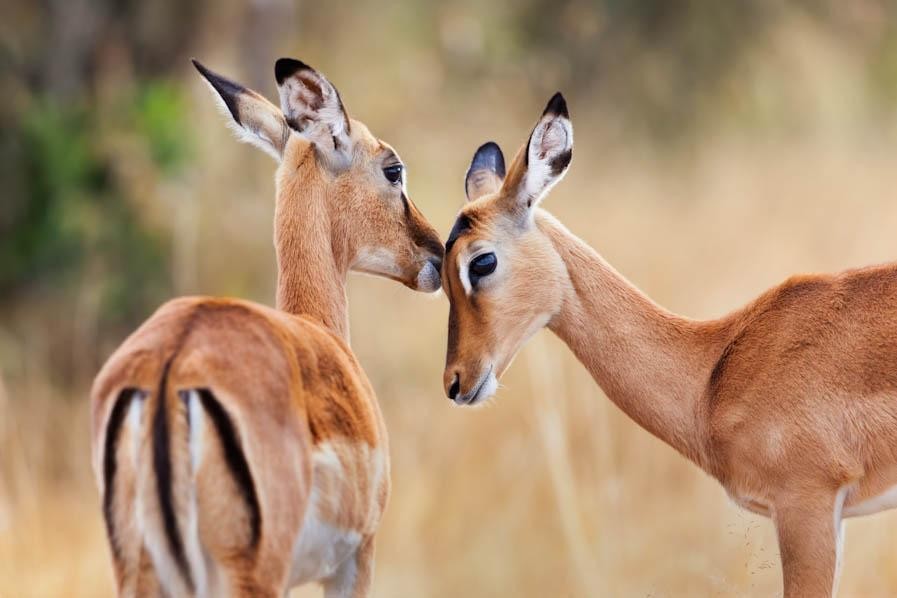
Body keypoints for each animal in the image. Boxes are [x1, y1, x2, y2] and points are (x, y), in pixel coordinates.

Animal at [90, 58, 444, 597]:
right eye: (393, 169)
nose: (438, 252)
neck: (316, 328)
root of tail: (172, 364)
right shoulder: (357, 557)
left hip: (143, 573)